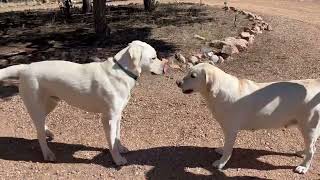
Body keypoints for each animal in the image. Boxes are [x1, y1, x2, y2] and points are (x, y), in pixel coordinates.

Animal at [0, 40, 166, 165]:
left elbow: (117, 136)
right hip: (38, 106)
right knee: (39, 133)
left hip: (50, 103)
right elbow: (111, 141)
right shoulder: (109, 118)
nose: (165, 68)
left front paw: (121, 148)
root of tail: (25, 67)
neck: (121, 71)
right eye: (153, 58)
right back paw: (47, 154)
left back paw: (47, 132)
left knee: (40, 124)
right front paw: (117, 159)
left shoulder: (118, 115)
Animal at [176, 62, 320, 174]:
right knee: (311, 147)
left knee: (312, 150)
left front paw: (221, 163)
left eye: (193, 76)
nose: (177, 82)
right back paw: (302, 152)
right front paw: (221, 150)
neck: (218, 92)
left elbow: (228, 149)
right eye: (188, 72)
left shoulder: (231, 130)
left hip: (309, 128)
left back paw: (303, 167)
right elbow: (225, 146)